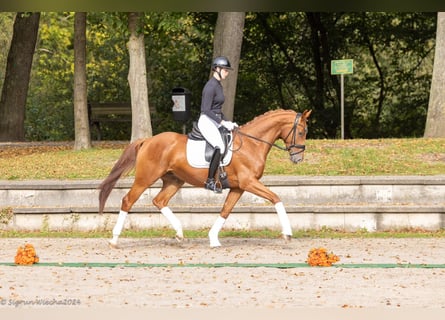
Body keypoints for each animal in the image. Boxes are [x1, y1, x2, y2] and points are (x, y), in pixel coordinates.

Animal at [99, 109, 310, 248]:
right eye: (301, 132)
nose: (298, 158)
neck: (252, 143)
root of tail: (148, 140)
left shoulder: (239, 187)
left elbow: (226, 210)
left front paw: (213, 238)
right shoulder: (249, 182)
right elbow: (276, 198)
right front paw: (287, 234)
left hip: (174, 180)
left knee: (159, 201)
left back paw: (179, 233)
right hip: (145, 178)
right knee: (128, 201)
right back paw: (114, 240)